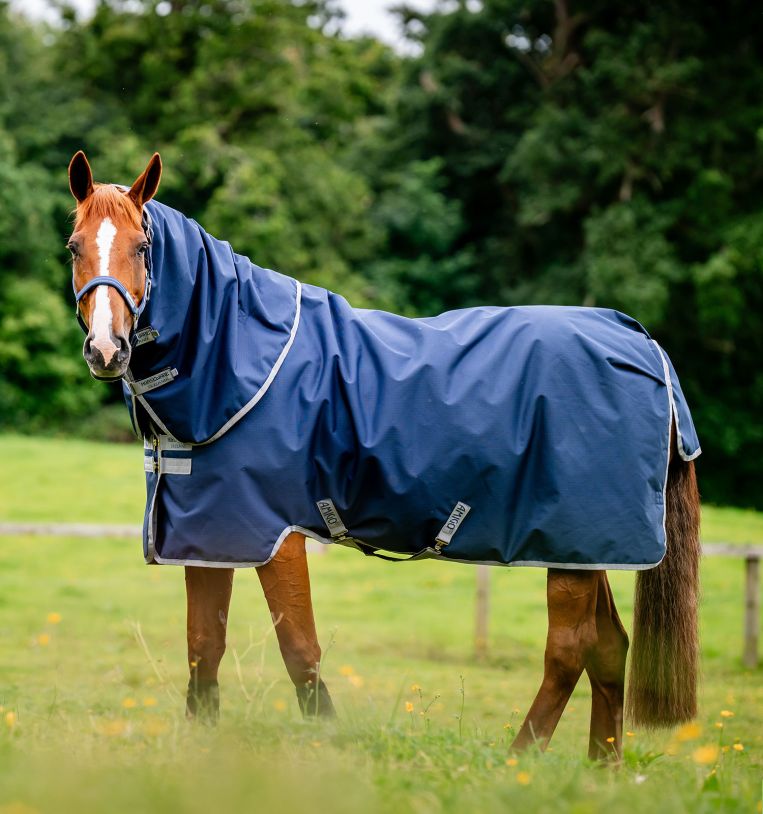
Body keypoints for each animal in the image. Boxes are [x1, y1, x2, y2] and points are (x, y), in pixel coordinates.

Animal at [66, 150, 701, 760]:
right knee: (609, 648)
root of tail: (641, 342)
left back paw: (519, 761)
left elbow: (299, 650)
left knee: (568, 651)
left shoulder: (276, 536)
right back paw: (601, 770)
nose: (106, 349)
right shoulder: (209, 533)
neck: (239, 359)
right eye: (75, 245)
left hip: (571, 550)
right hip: (588, 551)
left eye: (143, 246)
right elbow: (204, 648)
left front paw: (328, 744)